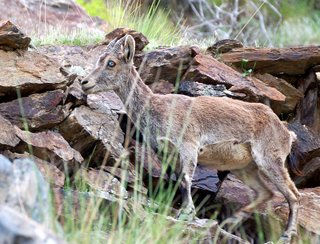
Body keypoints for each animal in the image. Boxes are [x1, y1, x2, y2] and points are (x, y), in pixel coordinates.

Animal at [81, 34, 302, 242]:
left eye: (111, 63)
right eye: (100, 59)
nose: (85, 83)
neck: (158, 109)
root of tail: (287, 134)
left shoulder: (189, 147)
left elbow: (187, 179)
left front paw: (188, 213)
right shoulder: (169, 154)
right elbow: (178, 180)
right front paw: (184, 211)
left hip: (269, 159)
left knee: (293, 195)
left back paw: (286, 234)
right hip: (244, 167)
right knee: (266, 193)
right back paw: (231, 221)